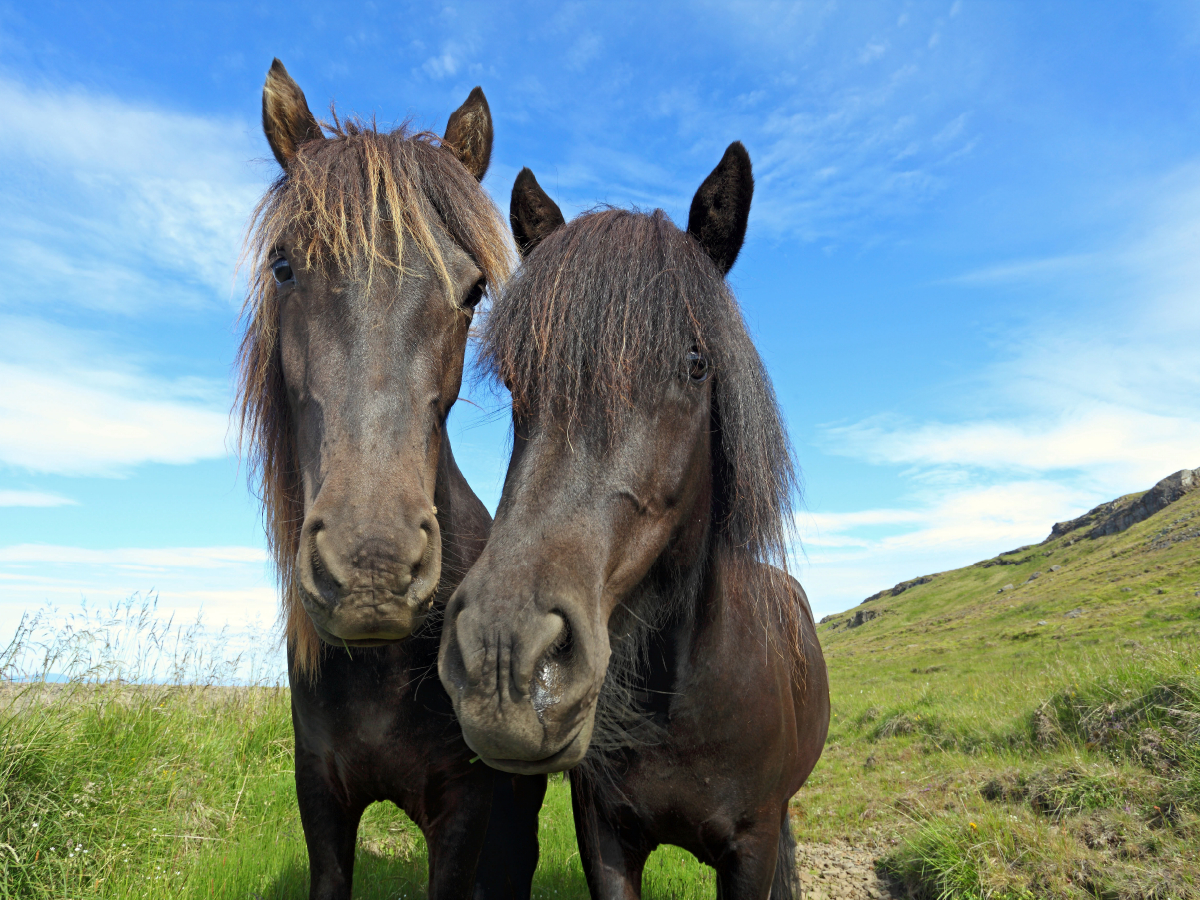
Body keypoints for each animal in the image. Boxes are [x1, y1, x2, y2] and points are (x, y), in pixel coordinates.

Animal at [439, 144, 825, 897]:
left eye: (697, 364)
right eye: (516, 381)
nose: (502, 656)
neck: (679, 700)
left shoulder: (753, 846)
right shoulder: (606, 839)